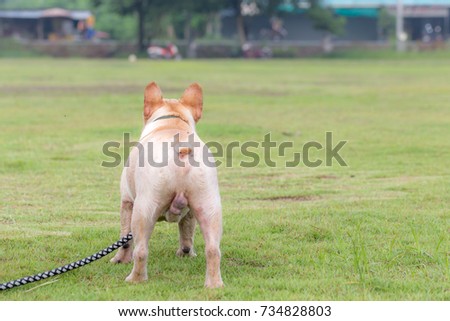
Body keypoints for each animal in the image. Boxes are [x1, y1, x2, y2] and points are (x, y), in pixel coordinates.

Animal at [110, 82, 223, 288]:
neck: (172, 121)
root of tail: (182, 149)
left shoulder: (127, 202)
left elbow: (124, 239)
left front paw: (119, 260)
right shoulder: (190, 213)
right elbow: (187, 232)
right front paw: (186, 253)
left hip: (144, 209)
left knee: (141, 250)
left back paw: (135, 278)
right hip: (208, 205)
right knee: (213, 249)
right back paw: (214, 284)